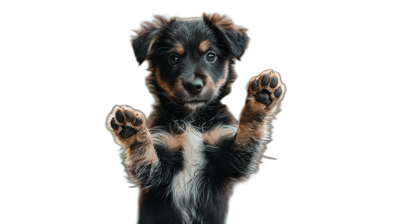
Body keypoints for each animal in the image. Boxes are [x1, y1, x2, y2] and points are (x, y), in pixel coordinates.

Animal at [106, 13, 286, 224]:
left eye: (211, 56)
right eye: (173, 58)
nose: (193, 86)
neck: (192, 121)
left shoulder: (232, 160)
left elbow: (247, 133)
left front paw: (259, 101)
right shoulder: (155, 172)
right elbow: (145, 153)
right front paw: (132, 132)